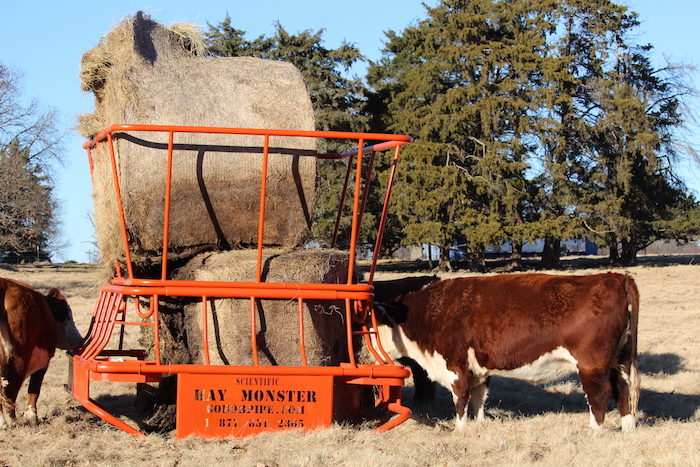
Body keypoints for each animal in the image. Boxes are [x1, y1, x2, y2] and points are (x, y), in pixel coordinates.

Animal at [0, 278, 83, 428]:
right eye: (67, 315)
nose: (80, 340)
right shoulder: (44, 359)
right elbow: (34, 388)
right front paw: (32, 417)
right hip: (19, 358)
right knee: (11, 390)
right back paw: (11, 422)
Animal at [374, 274, 644, 432]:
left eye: (369, 321)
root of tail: (614, 276)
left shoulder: (457, 366)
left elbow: (460, 399)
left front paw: (460, 429)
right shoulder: (479, 368)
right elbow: (479, 397)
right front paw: (480, 423)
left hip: (592, 364)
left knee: (599, 395)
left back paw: (594, 431)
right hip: (619, 360)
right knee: (623, 391)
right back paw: (627, 429)